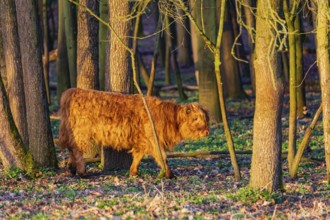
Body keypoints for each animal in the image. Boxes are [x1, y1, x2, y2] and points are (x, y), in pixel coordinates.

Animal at [59, 88, 209, 178]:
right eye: (195, 118)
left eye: (205, 118)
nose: (207, 131)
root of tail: (73, 91)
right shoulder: (153, 140)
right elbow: (162, 156)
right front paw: (169, 174)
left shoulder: (142, 141)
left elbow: (138, 156)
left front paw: (133, 172)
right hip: (81, 133)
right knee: (77, 149)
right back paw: (82, 172)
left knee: (71, 148)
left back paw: (72, 168)